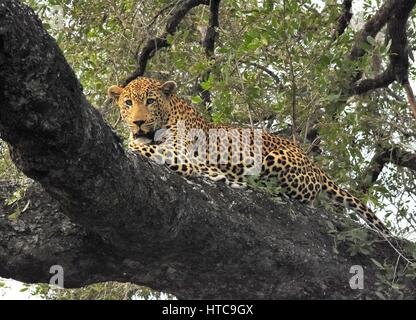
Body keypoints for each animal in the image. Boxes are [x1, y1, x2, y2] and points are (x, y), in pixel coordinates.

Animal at [107, 76, 390, 234]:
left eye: (151, 101)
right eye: (128, 103)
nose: (138, 123)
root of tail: (312, 161)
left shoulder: (182, 154)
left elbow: (139, 147)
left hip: (274, 160)